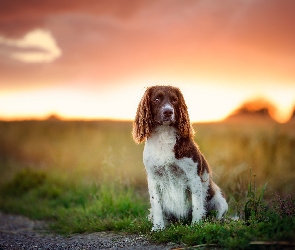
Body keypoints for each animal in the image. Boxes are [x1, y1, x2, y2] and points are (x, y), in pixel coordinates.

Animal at [133, 85, 228, 230]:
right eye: (156, 99)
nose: (168, 112)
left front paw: (196, 225)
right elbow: (157, 205)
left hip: (220, 202)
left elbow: (197, 205)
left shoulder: (193, 177)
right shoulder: (153, 178)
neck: (164, 135)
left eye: (174, 100)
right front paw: (158, 227)